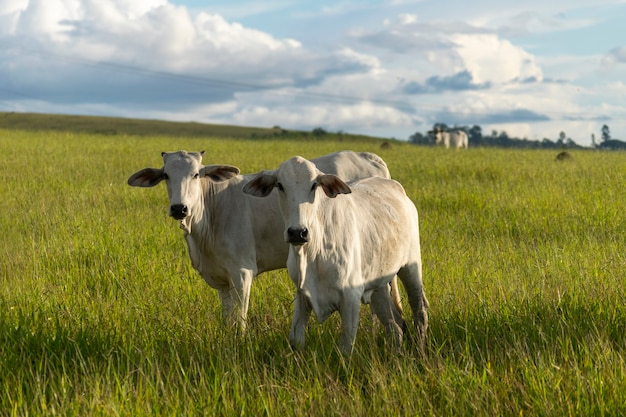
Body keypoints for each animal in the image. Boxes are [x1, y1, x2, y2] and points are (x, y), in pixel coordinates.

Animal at [127, 151, 390, 330]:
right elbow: (228, 320)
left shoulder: (242, 272)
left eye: (196, 174)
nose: (179, 208)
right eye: (165, 175)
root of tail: (370, 157)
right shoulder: (223, 281)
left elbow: (239, 321)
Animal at [241, 156, 426, 354]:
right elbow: (296, 340)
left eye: (314, 185)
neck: (312, 253)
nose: (298, 232)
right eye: (280, 185)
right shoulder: (302, 295)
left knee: (419, 310)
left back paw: (420, 349)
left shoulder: (351, 298)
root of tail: (396, 188)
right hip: (379, 284)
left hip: (411, 267)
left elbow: (345, 347)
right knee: (394, 327)